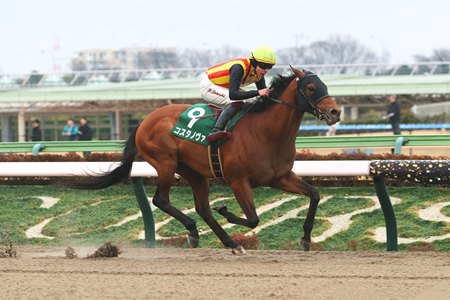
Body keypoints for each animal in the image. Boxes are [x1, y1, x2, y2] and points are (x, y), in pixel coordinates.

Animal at [70, 67, 340, 254]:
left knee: (201, 208)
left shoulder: (280, 177)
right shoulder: (238, 181)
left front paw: (305, 239)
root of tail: (145, 120)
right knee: (161, 200)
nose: (336, 112)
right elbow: (253, 219)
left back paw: (227, 242)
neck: (267, 133)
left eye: (324, 84)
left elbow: (315, 194)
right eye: (311, 88)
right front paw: (226, 210)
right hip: (165, 162)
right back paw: (194, 231)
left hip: (194, 172)